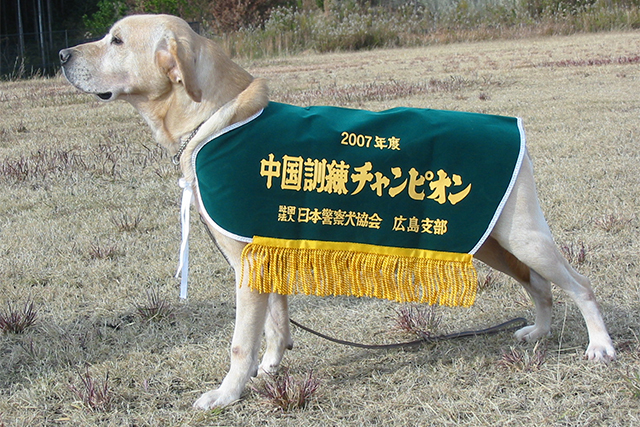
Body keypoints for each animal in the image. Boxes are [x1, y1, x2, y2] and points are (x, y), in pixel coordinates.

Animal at [60, 14, 616, 412]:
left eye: (115, 40)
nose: (62, 54)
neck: (216, 118)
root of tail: (515, 128)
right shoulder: (269, 254)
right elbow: (276, 324)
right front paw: (272, 366)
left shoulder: (247, 262)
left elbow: (240, 343)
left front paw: (227, 394)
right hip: (489, 241)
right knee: (540, 286)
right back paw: (539, 332)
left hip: (520, 236)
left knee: (581, 285)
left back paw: (600, 346)